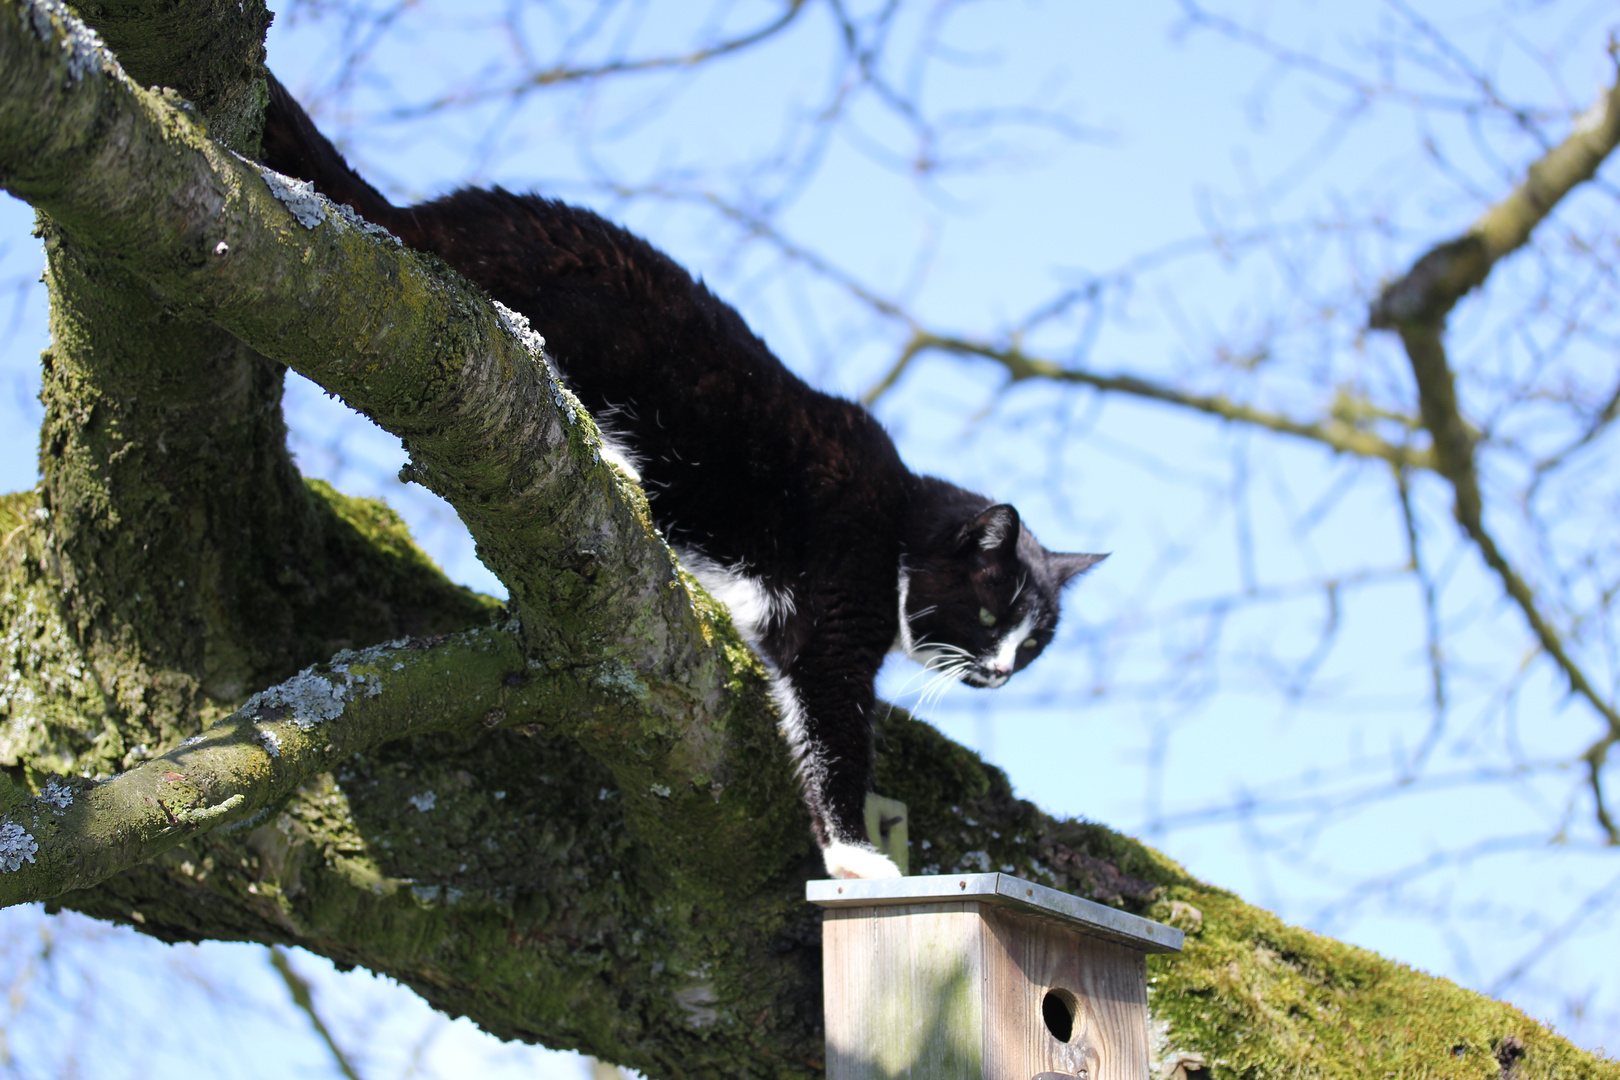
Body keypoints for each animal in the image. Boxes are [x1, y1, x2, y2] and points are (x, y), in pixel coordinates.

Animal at [262, 74, 1101, 880]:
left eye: (1033, 645)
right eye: (990, 616)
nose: (1003, 671)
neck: (898, 525)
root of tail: (419, 218)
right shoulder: (834, 610)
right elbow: (833, 731)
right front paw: (854, 853)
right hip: (583, 312)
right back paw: (611, 450)